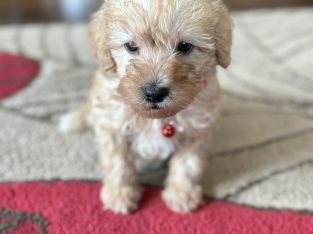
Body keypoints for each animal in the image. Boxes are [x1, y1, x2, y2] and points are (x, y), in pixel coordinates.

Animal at [59, 0, 233, 214]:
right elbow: (118, 163)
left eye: (185, 46)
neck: (156, 118)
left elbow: (188, 164)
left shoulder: (197, 130)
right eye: (131, 46)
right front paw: (120, 194)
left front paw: (182, 194)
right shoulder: (112, 125)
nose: (155, 93)